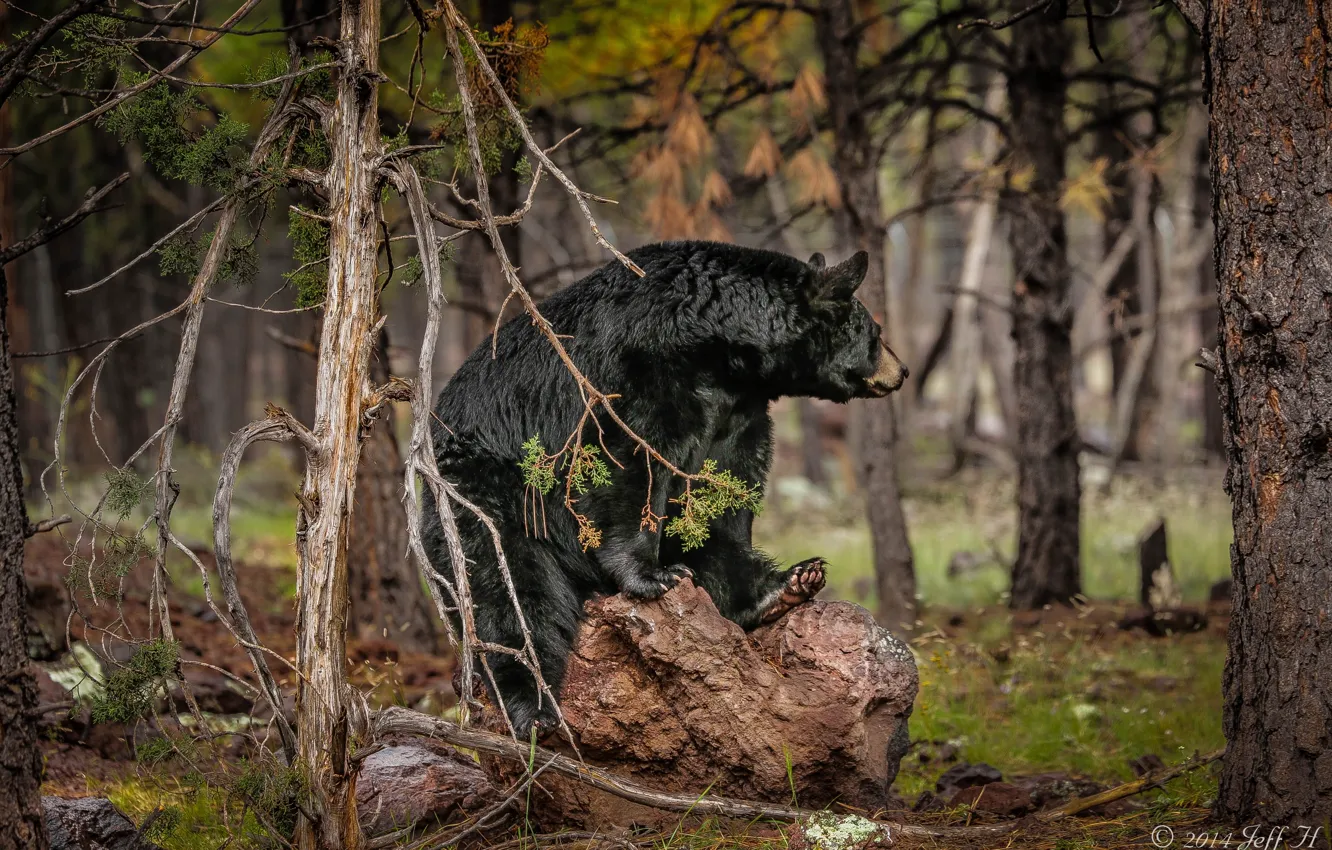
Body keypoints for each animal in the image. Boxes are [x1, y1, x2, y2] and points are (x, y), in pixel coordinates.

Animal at [421, 241, 907, 738]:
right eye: (875, 332)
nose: (903, 370)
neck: (720, 343)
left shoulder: (739, 411)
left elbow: (723, 495)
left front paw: (764, 585)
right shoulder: (639, 371)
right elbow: (632, 463)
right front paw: (650, 576)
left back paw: (789, 583)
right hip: (490, 493)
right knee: (508, 588)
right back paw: (533, 706)